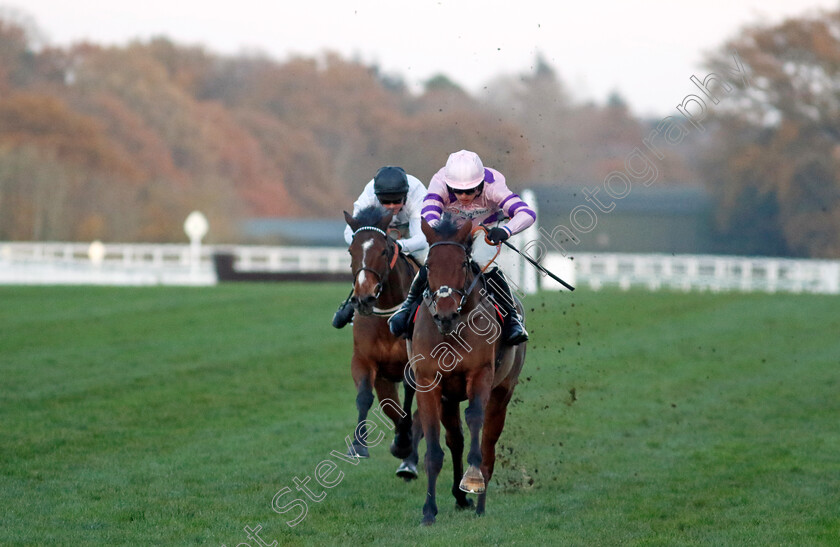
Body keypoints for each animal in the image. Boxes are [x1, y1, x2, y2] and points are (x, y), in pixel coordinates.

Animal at [342, 206, 420, 480]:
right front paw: (358, 446)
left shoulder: (415, 364)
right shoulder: (364, 360)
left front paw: (405, 447)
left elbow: (410, 401)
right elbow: (365, 397)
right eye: (351, 250)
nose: (364, 298)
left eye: (384, 251)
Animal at [410, 216, 528, 524]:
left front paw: (473, 480)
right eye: (428, 265)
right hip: (449, 398)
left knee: (488, 444)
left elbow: (475, 418)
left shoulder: (481, 375)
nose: (446, 314)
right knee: (456, 440)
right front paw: (429, 511)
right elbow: (433, 449)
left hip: (502, 392)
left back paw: (479, 503)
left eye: (463, 264)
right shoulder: (428, 382)